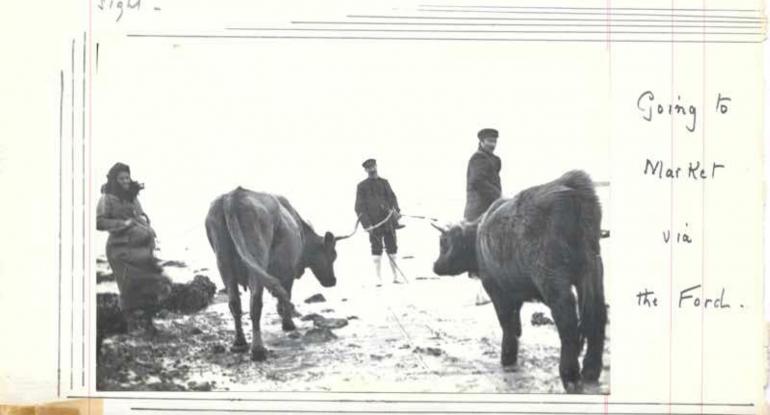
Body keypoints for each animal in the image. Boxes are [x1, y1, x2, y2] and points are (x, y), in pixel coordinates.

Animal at [204, 187, 340, 362]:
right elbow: (286, 295)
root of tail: (232, 198)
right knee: (255, 303)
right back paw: (258, 350)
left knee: (234, 303)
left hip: (223, 262)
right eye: (333, 255)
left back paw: (239, 342)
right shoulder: (288, 270)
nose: (333, 281)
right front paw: (288, 323)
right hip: (258, 256)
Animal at [432, 171, 608, 394]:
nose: (435, 265)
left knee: (567, 319)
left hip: (552, 277)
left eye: (443, 242)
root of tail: (570, 184)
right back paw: (591, 371)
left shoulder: (498, 291)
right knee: (596, 314)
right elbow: (515, 326)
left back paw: (570, 377)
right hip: (593, 270)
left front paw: (507, 358)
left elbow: (507, 324)